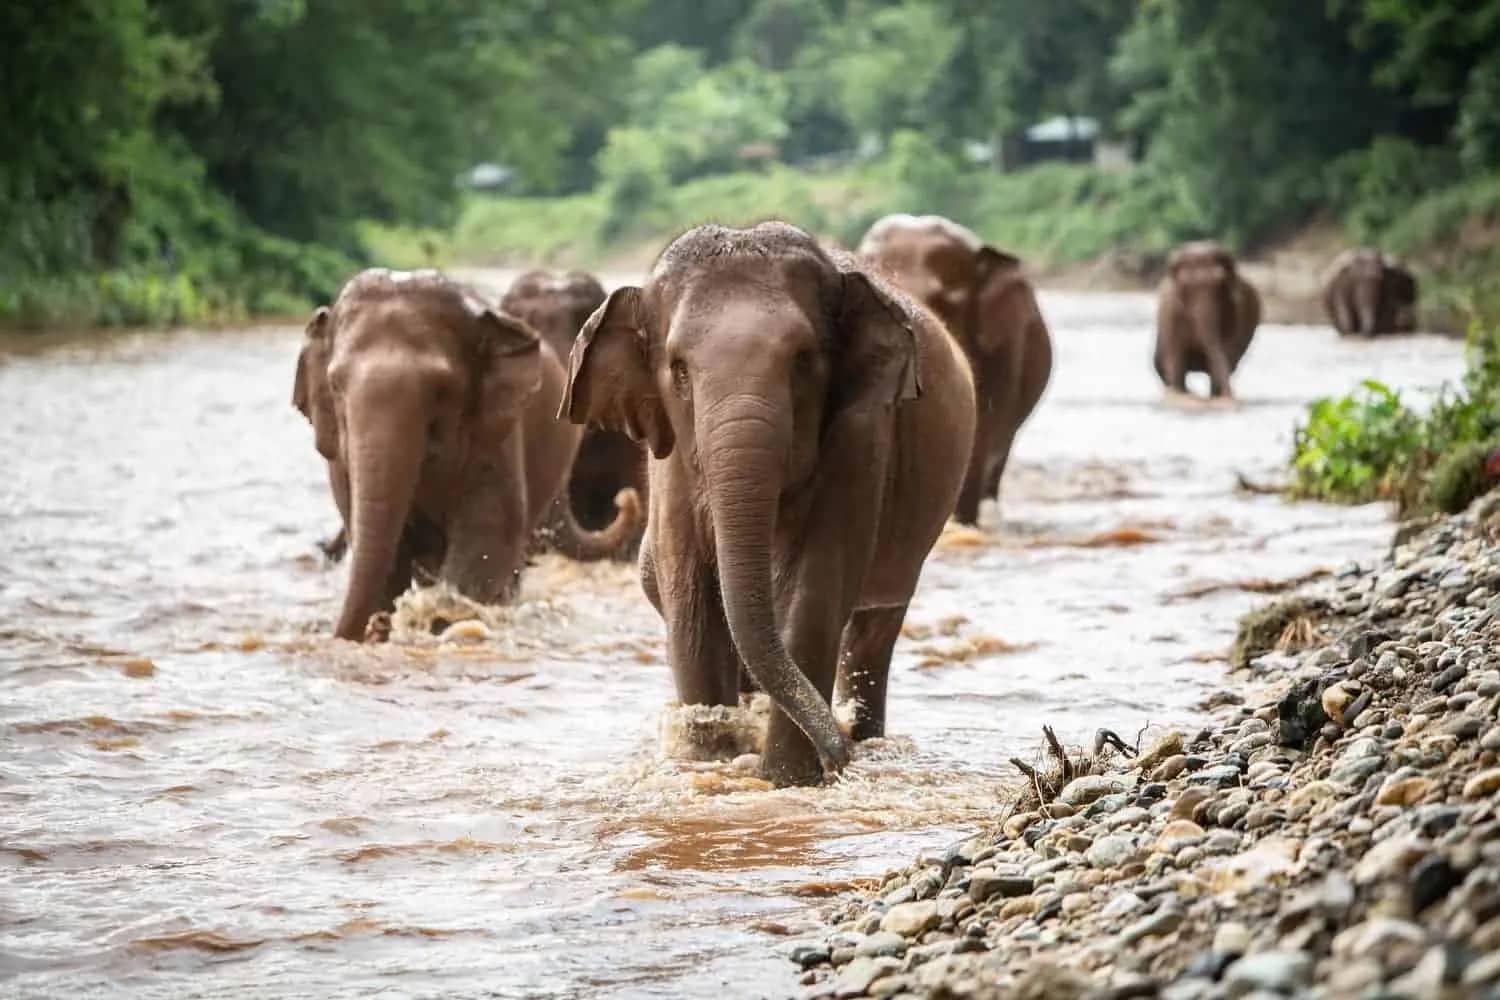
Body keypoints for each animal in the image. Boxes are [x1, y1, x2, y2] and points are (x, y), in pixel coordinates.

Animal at [560, 221, 976, 786]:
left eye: (803, 361)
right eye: (679, 371)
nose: (839, 756)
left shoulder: (862, 436)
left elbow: (816, 586)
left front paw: (786, 779)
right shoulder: (672, 461)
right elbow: (690, 595)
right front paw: (708, 762)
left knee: (874, 628)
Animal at [1153, 241, 1261, 399]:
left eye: (1220, 282)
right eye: (1186, 286)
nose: (1231, 396)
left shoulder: (1236, 310)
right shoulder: (1172, 313)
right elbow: (1177, 357)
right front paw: (1180, 393)